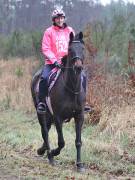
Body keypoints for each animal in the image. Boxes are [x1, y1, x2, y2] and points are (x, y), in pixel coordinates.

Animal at [31, 32, 86, 172]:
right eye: (70, 49)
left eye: (83, 49)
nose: (78, 67)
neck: (71, 88)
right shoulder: (58, 117)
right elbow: (61, 142)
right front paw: (54, 153)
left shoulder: (79, 116)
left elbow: (78, 141)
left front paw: (79, 164)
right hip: (41, 112)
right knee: (45, 131)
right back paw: (49, 155)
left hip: (49, 116)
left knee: (46, 130)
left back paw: (42, 150)